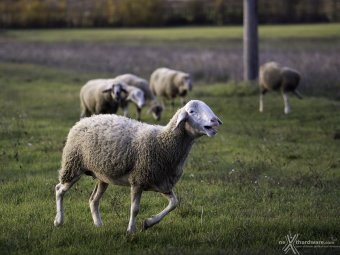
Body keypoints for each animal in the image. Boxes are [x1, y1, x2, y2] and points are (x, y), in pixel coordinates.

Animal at [53, 99, 222, 235]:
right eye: (192, 111)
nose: (215, 121)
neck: (164, 143)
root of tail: (85, 120)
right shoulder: (138, 180)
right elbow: (135, 209)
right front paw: (130, 231)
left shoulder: (162, 182)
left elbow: (174, 203)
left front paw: (148, 223)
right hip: (73, 164)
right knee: (59, 189)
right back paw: (59, 220)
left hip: (102, 175)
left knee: (93, 200)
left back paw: (98, 224)